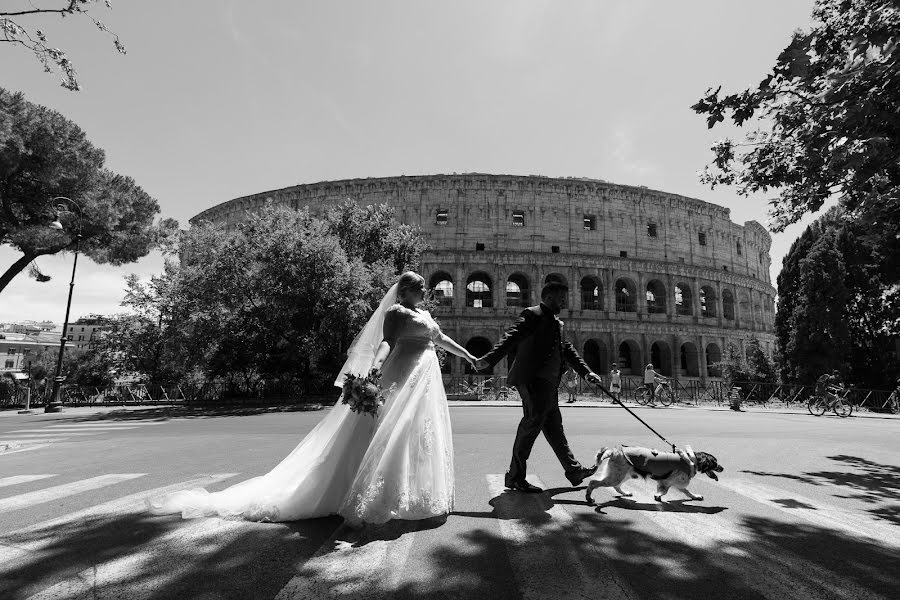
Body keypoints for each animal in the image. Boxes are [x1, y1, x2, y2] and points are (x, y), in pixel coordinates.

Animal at [584, 442, 724, 504]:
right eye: (715, 462)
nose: (723, 468)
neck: (691, 459)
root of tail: (614, 451)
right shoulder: (667, 481)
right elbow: (665, 490)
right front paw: (658, 496)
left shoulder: (677, 483)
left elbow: (687, 492)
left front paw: (695, 496)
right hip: (617, 476)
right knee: (593, 483)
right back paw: (589, 498)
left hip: (622, 475)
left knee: (616, 486)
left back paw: (625, 493)